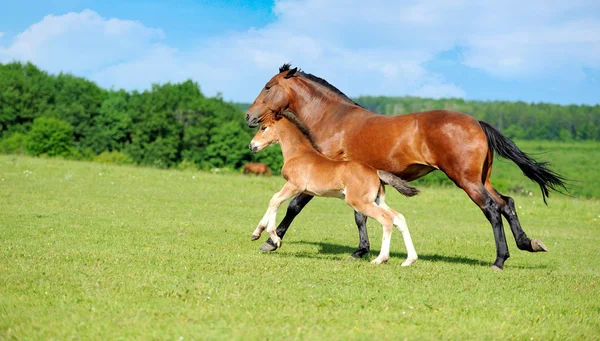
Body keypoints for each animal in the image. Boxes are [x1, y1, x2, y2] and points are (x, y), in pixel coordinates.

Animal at [246, 111, 420, 266]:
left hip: (359, 202)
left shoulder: (295, 185)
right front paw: (256, 233)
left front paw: (274, 239)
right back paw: (409, 260)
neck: (299, 154)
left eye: (264, 127)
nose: (252, 146)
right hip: (376, 200)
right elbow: (274, 200)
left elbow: (275, 200)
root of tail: (375, 172)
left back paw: (380, 259)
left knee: (386, 219)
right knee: (399, 218)